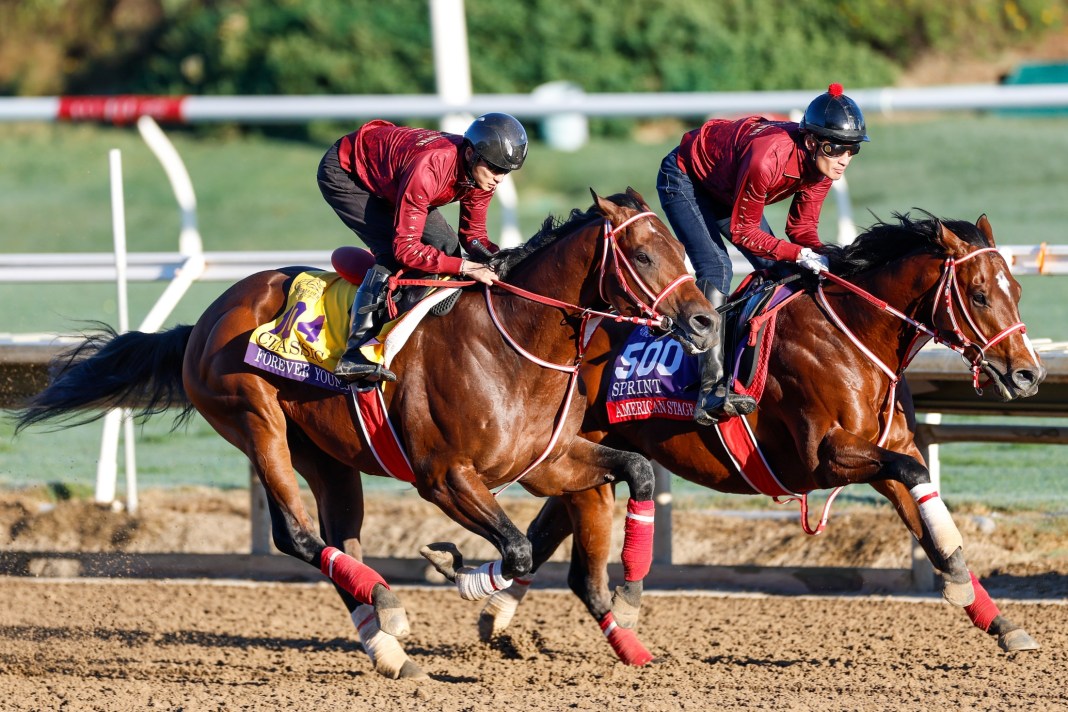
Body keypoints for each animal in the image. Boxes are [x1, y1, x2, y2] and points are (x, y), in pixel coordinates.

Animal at [13, 188, 718, 679]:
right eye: (645, 254)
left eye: (683, 251)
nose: (706, 321)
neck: (512, 343)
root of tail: (205, 320)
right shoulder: (444, 478)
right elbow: (517, 550)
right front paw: (456, 568)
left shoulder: (547, 461)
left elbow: (634, 473)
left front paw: (629, 603)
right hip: (255, 421)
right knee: (295, 534)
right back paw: (389, 607)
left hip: (325, 455)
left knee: (337, 536)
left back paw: (387, 645)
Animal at [476, 212, 1047, 664]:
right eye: (979, 294)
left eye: (1018, 291)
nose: (1028, 374)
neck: (853, 335)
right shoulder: (825, 456)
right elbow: (916, 474)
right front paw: (958, 575)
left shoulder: (888, 452)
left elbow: (923, 508)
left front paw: (998, 619)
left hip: (589, 451)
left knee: (551, 530)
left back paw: (496, 610)